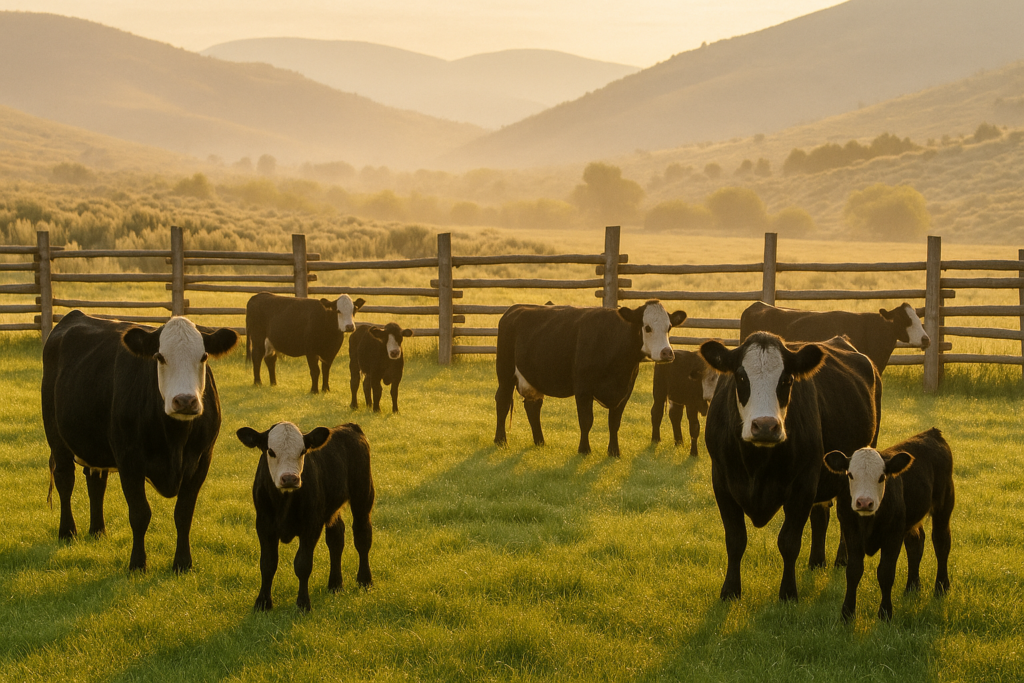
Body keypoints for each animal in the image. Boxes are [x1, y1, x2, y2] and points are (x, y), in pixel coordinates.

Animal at [41, 311, 238, 572]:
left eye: (203, 356)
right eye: (160, 357)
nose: (185, 401)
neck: (175, 440)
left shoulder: (202, 460)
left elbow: (184, 514)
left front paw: (183, 563)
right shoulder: (129, 460)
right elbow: (139, 514)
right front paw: (137, 564)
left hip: (96, 447)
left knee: (96, 483)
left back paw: (97, 530)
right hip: (56, 437)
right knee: (65, 480)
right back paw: (68, 532)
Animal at [236, 421, 375, 612]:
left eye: (302, 451)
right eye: (270, 451)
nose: (289, 478)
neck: (284, 502)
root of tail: (349, 426)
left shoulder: (311, 525)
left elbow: (302, 564)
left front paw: (303, 604)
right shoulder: (264, 524)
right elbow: (267, 564)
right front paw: (262, 602)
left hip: (363, 495)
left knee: (362, 537)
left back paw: (365, 580)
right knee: (336, 539)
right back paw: (335, 584)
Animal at [494, 300, 687, 457]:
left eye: (669, 327)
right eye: (647, 327)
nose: (667, 353)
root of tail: (514, 309)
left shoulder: (625, 391)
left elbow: (614, 422)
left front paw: (614, 451)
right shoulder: (583, 390)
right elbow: (586, 420)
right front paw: (584, 449)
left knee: (533, 406)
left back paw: (540, 441)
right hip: (505, 372)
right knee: (502, 401)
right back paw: (500, 440)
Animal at [701, 332, 879, 602]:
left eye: (787, 379)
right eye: (741, 377)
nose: (765, 426)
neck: (757, 464)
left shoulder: (803, 485)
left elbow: (789, 542)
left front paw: (788, 592)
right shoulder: (722, 482)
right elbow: (735, 540)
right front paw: (730, 590)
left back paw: (842, 559)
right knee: (821, 515)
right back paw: (817, 560)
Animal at [824, 428, 954, 622]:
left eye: (882, 477)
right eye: (850, 475)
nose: (864, 502)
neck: (868, 520)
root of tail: (932, 433)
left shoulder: (893, 534)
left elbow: (885, 572)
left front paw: (885, 612)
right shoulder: (850, 531)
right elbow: (853, 571)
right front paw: (847, 613)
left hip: (944, 506)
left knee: (941, 543)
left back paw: (941, 587)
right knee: (916, 544)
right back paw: (912, 587)